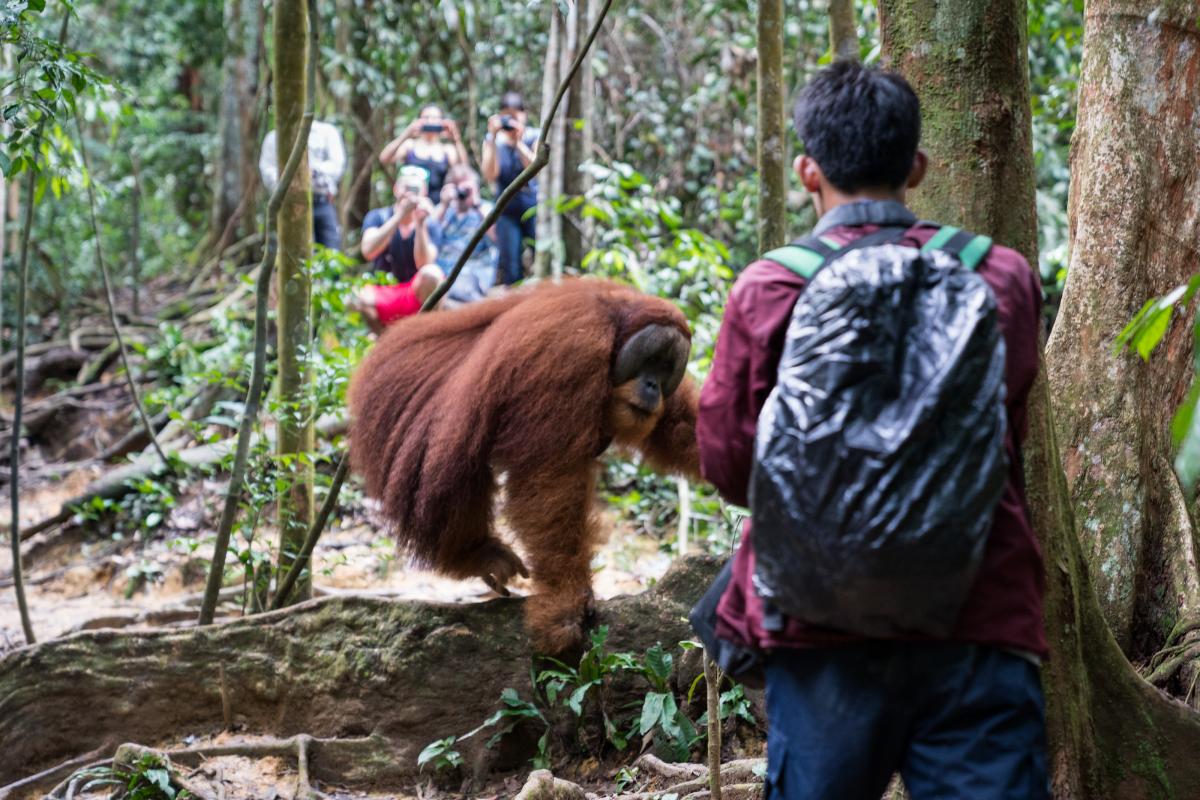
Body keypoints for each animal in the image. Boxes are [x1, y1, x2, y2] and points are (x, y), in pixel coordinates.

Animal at [347, 278, 700, 652]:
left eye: (666, 369)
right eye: (651, 360)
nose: (652, 386)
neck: (617, 329)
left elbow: (681, 423)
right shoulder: (575, 352)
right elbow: (551, 478)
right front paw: (565, 603)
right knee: (456, 456)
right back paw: (476, 553)